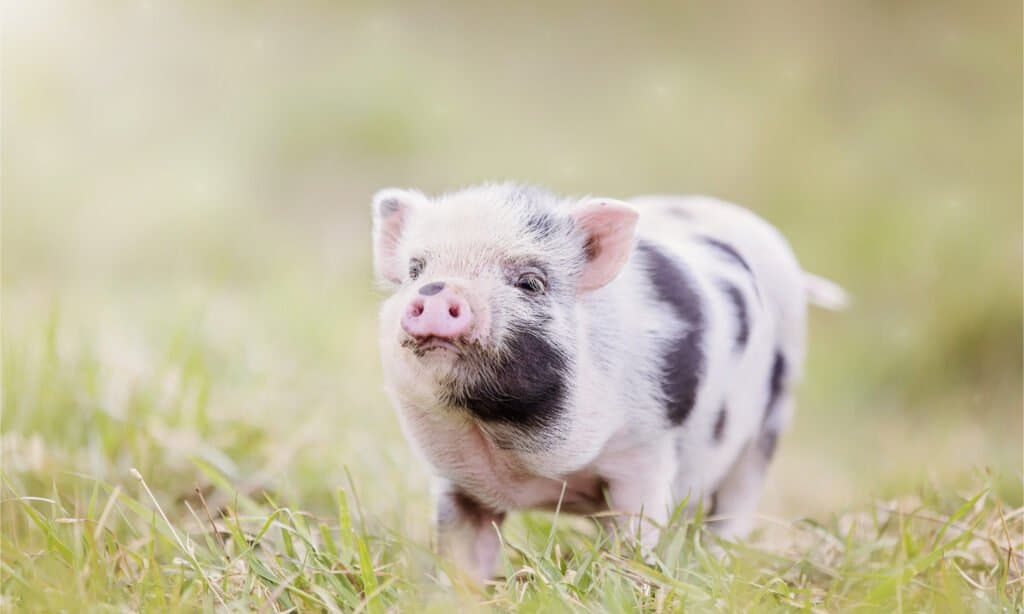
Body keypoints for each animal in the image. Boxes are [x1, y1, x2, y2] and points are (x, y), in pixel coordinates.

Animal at [372, 182, 843, 581]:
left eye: (531, 282)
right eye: (415, 270)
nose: (437, 291)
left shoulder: (645, 453)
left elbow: (636, 532)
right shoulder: (457, 481)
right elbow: (462, 554)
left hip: (771, 421)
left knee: (736, 503)